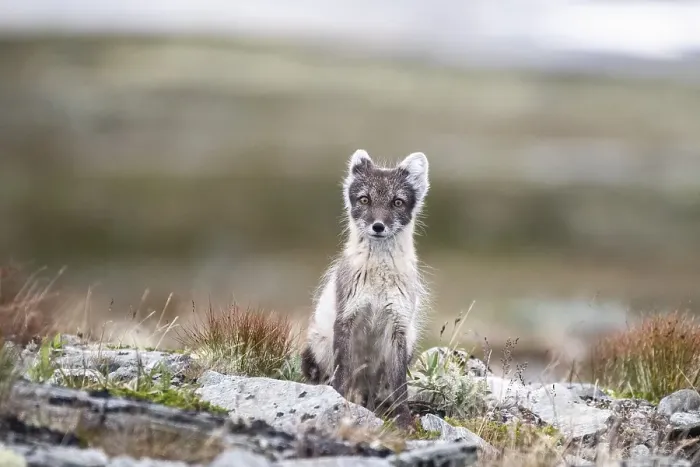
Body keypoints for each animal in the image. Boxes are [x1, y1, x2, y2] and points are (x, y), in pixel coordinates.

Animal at [300, 149, 430, 429]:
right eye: (364, 199)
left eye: (397, 202)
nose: (378, 226)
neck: (379, 279)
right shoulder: (346, 317)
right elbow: (341, 373)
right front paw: (336, 401)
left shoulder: (398, 325)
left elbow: (400, 386)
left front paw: (404, 421)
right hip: (315, 348)